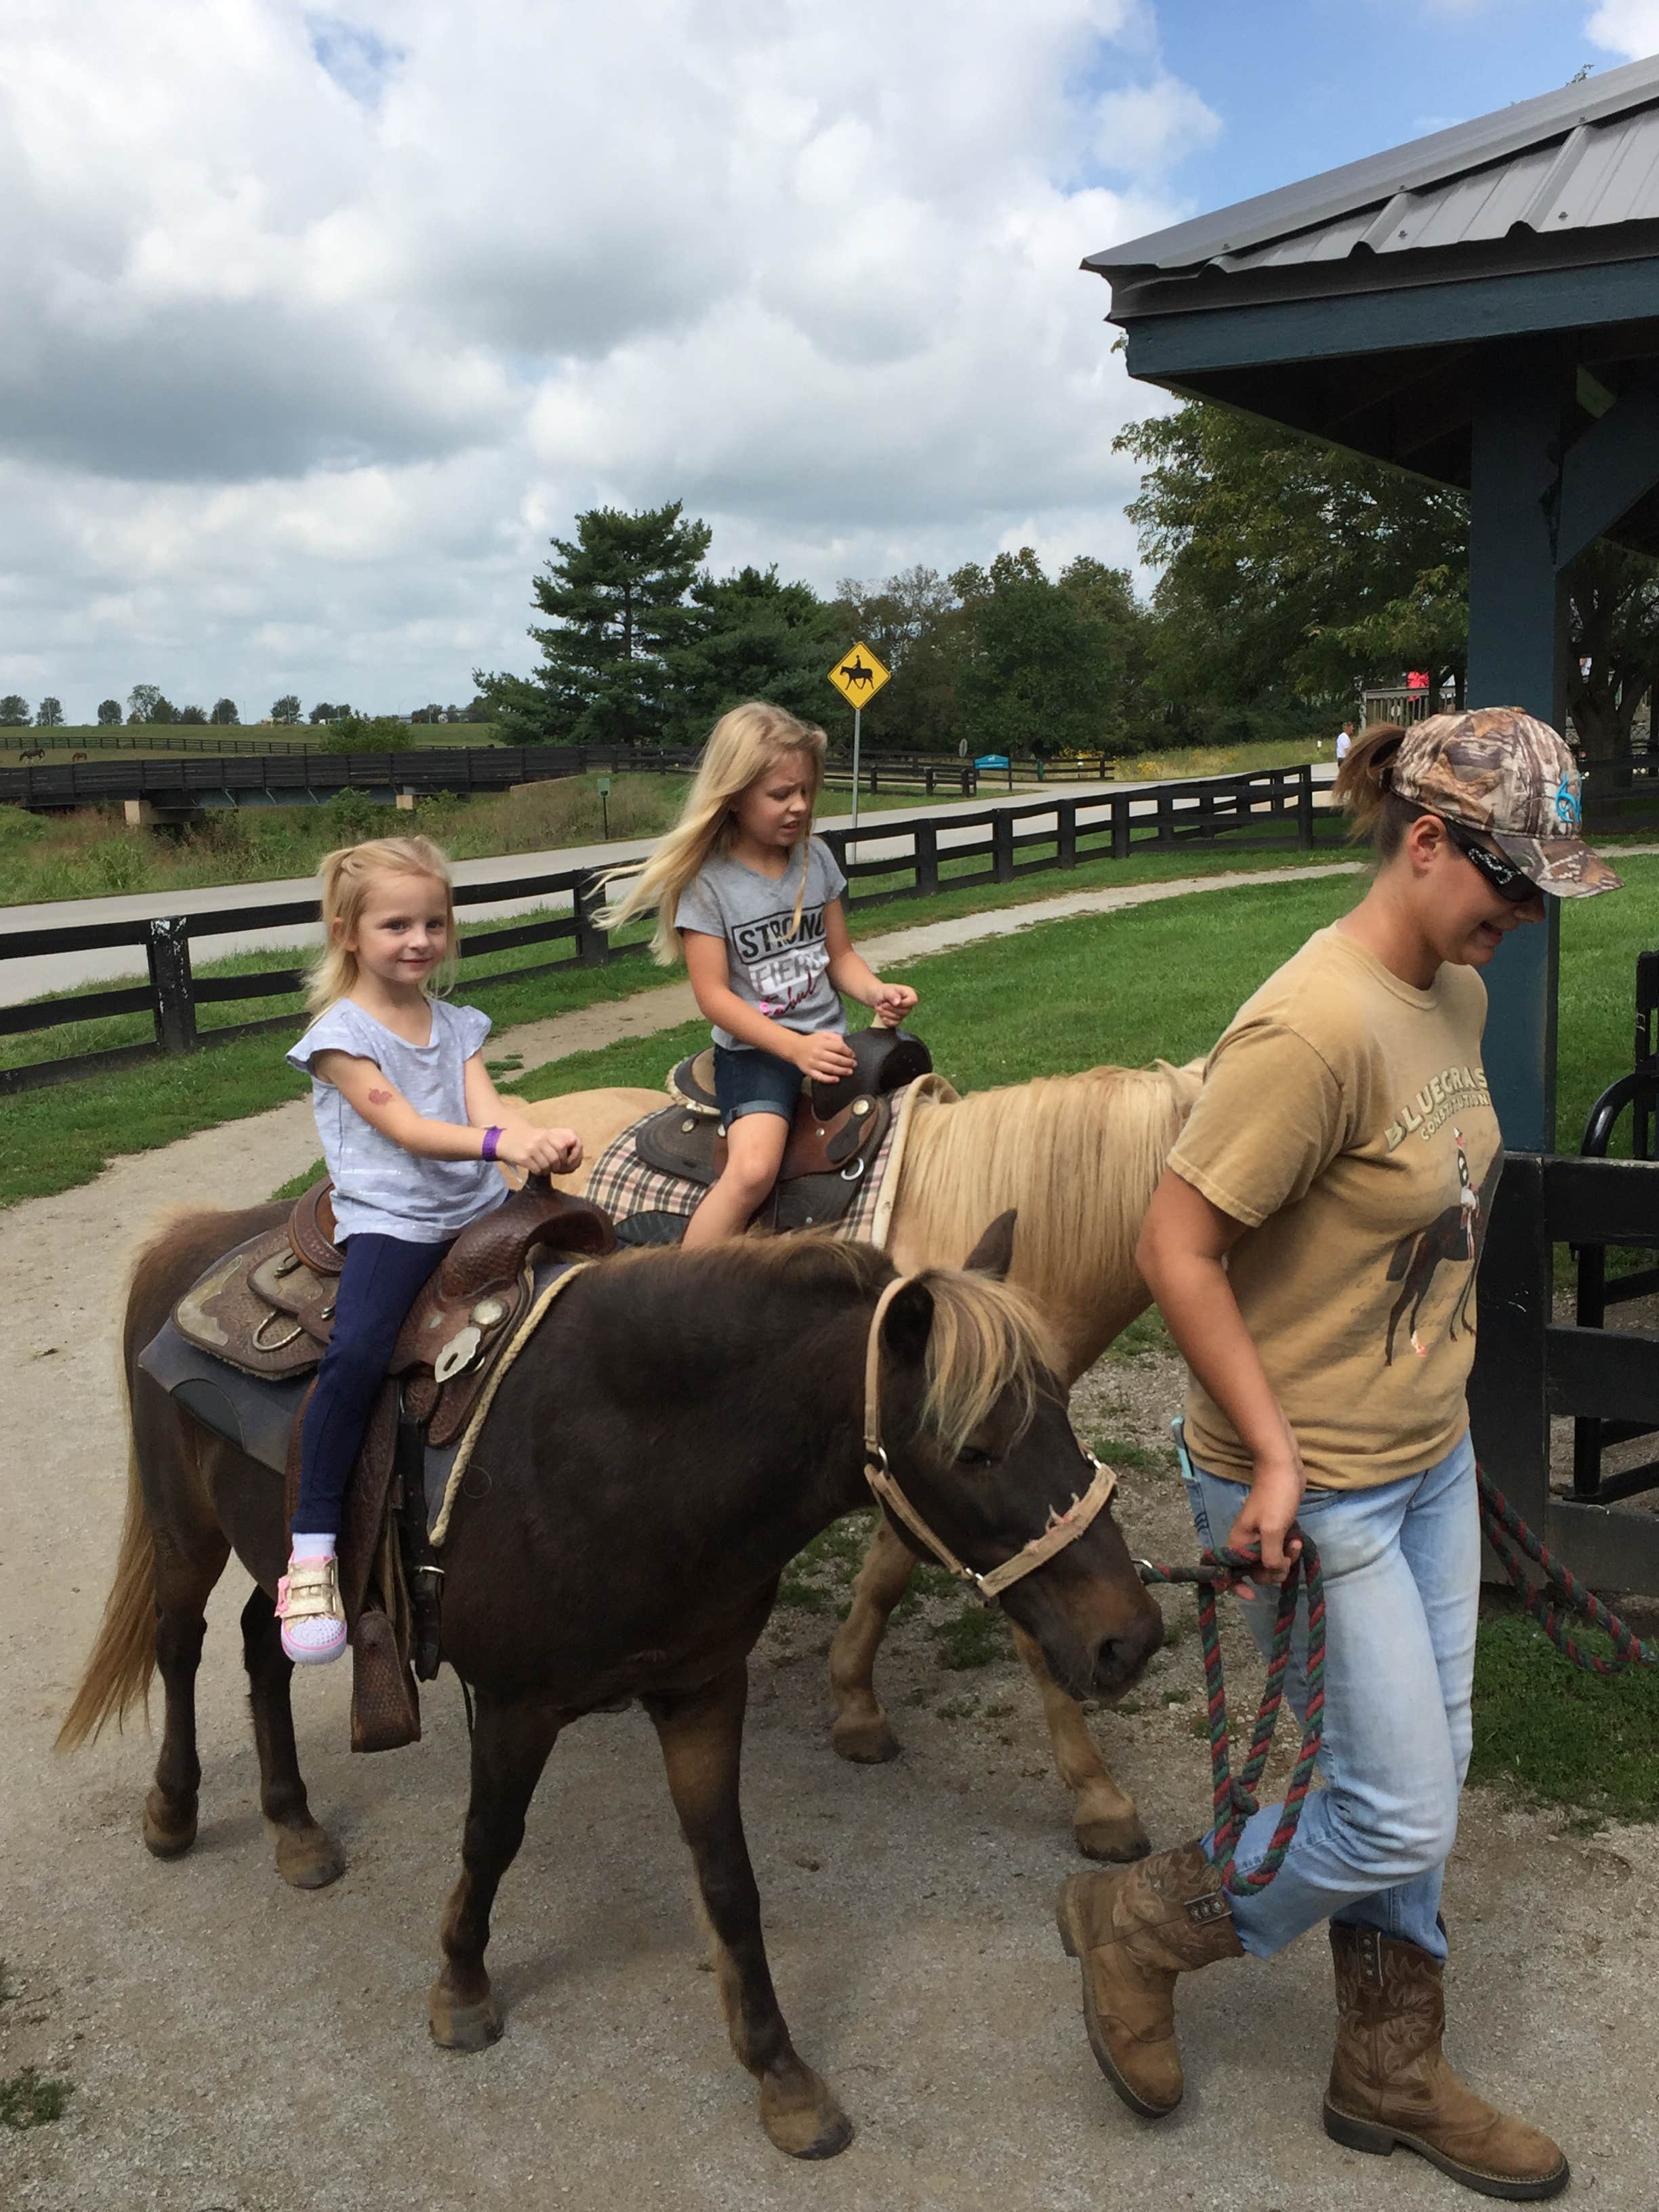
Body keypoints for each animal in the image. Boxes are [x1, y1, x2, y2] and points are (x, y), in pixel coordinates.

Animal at [60, 1213, 1160, 2160]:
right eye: (975, 1447)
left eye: (1064, 1408)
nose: (1131, 1638)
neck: (630, 1458)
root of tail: (193, 1240)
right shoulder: (517, 1706)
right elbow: (490, 1841)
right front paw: (462, 1987)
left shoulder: (702, 1691)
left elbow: (728, 1878)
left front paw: (781, 2076)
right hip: (185, 1535)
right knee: (180, 1647)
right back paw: (174, 1811)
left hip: (289, 1558)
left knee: (263, 1647)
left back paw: (293, 1826)